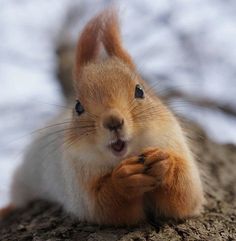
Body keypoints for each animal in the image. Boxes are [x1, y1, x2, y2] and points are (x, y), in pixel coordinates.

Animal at [0, 9, 204, 226]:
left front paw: (164, 163)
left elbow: (185, 195)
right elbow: (104, 205)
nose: (113, 121)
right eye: (78, 106)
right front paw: (123, 179)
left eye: (140, 91)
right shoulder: (79, 181)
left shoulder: (173, 142)